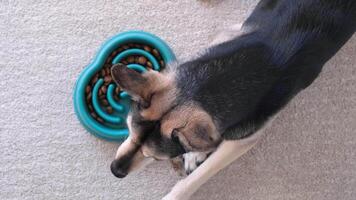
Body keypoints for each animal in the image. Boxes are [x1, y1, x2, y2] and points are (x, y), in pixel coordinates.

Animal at [110, 0, 354, 199]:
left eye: (155, 157)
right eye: (129, 132)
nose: (114, 170)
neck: (206, 88)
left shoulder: (243, 139)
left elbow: (198, 176)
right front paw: (195, 152)